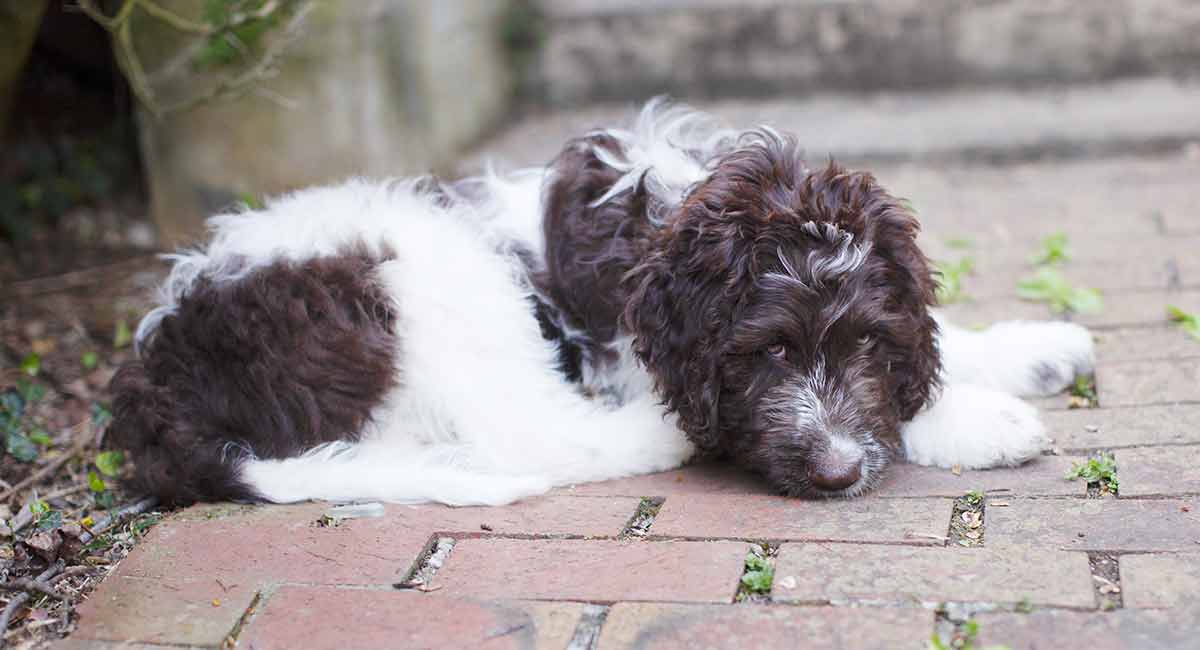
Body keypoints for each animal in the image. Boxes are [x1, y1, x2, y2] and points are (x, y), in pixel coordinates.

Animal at [110, 103, 1099, 508]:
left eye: (862, 343)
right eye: (771, 351)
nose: (833, 473)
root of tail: (157, 379)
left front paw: (1032, 349)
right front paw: (980, 420)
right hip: (423, 274)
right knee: (526, 433)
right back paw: (654, 439)